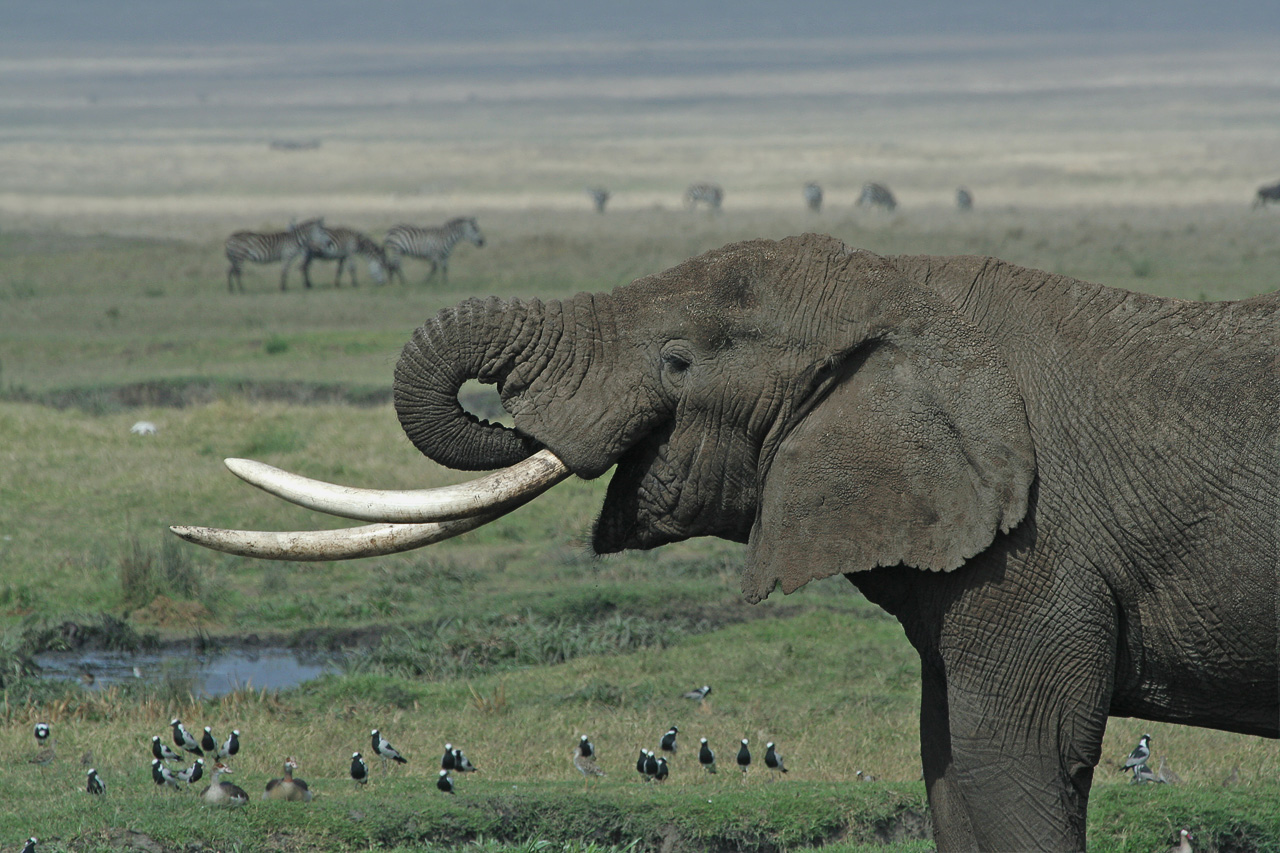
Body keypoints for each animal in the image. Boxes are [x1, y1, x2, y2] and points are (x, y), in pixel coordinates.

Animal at [174, 233, 1279, 851]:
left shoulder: (1038, 549)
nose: (511, 416)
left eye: (676, 361)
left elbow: (1013, 764)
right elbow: (948, 771)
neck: (903, 288)